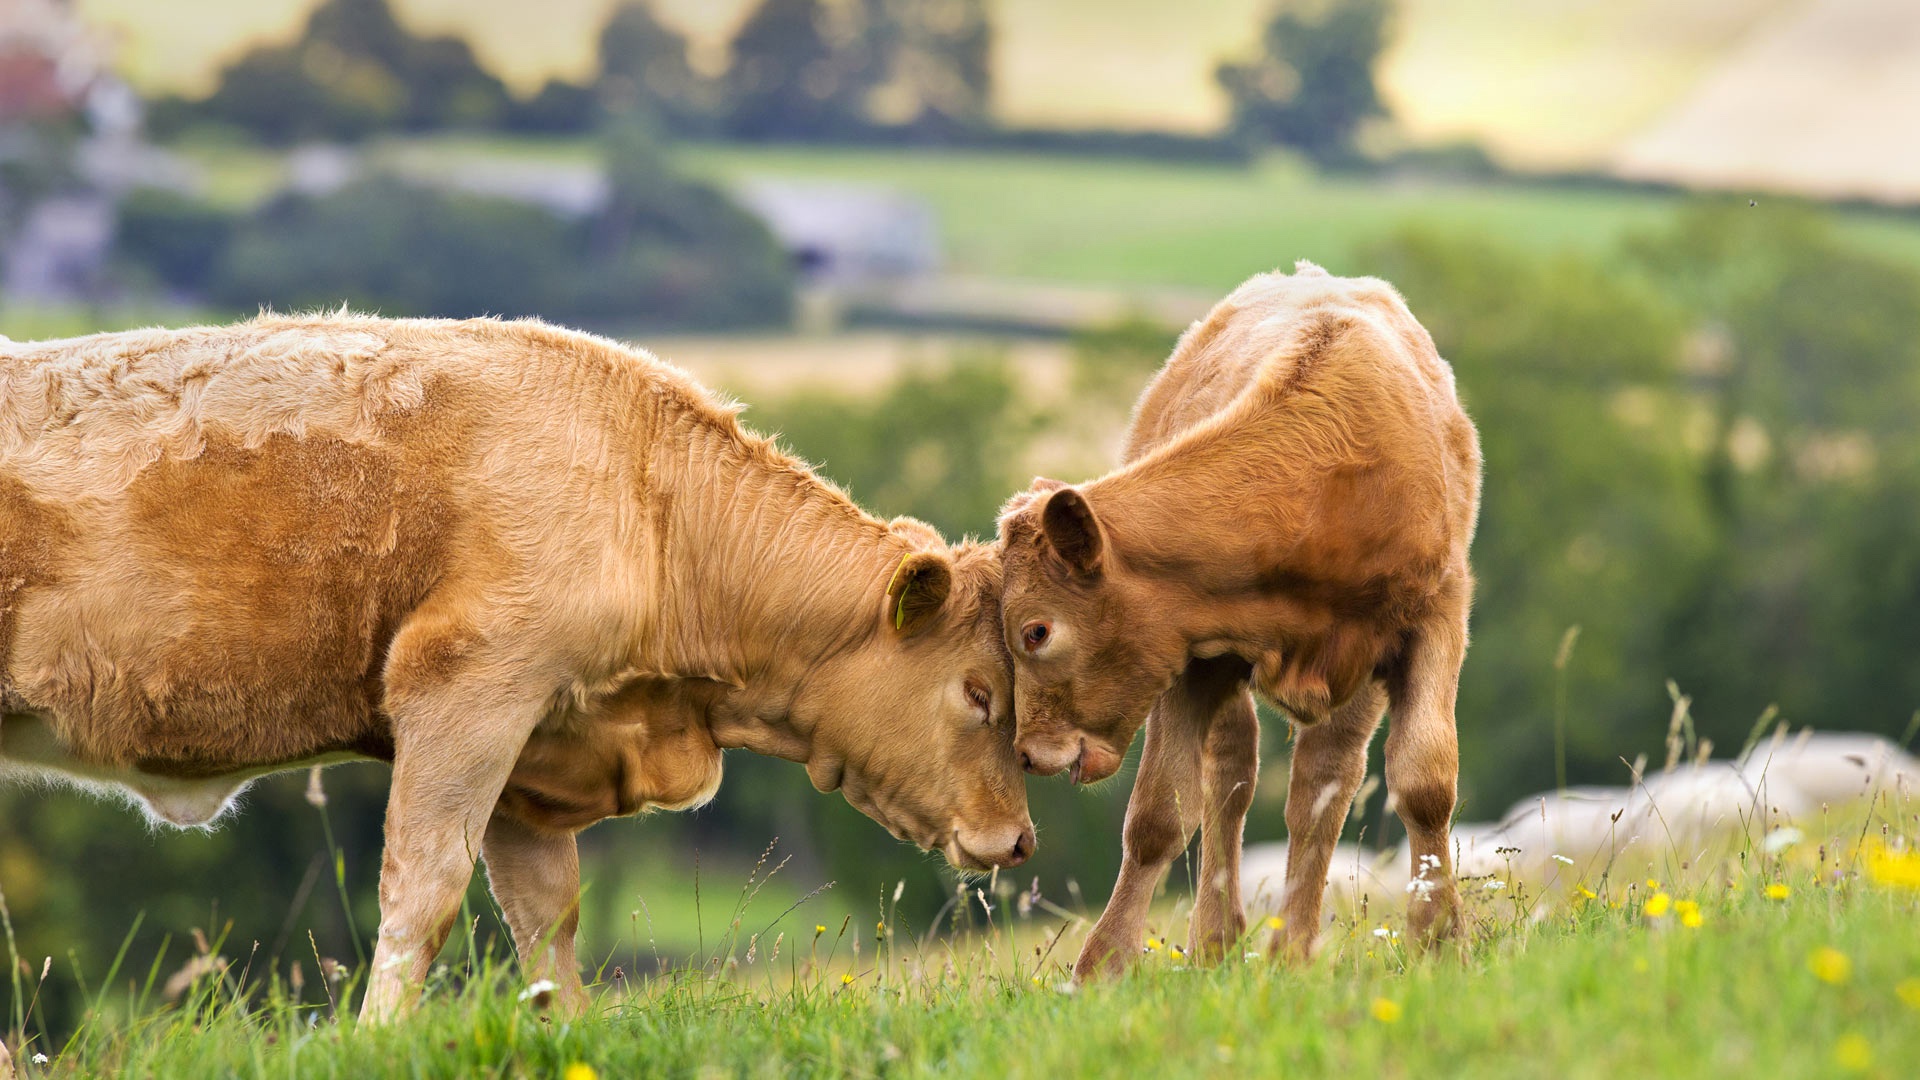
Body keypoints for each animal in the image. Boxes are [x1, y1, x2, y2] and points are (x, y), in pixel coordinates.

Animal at [3, 311, 1036, 1014]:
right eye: (979, 694)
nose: (1020, 839)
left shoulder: (538, 753)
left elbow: (548, 923)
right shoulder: (468, 692)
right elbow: (422, 895)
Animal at [998, 261, 1474, 976]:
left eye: (1037, 630)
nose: (1027, 753)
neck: (1324, 493)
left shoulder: (1437, 614)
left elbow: (1424, 779)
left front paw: (1440, 938)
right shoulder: (1190, 657)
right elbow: (1159, 816)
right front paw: (1102, 968)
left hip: (1356, 678)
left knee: (1321, 783)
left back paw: (1292, 949)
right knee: (1233, 776)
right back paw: (1219, 942)